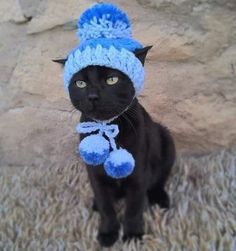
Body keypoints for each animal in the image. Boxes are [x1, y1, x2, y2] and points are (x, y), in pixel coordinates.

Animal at [54, 46, 175, 246]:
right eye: (80, 83)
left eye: (112, 79)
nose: (92, 96)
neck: (108, 130)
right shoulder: (95, 175)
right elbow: (106, 206)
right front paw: (108, 233)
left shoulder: (138, 176)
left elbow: (133, 208)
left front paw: (133, 236)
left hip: (167, 140)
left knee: (159, 181)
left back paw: (160, 199)